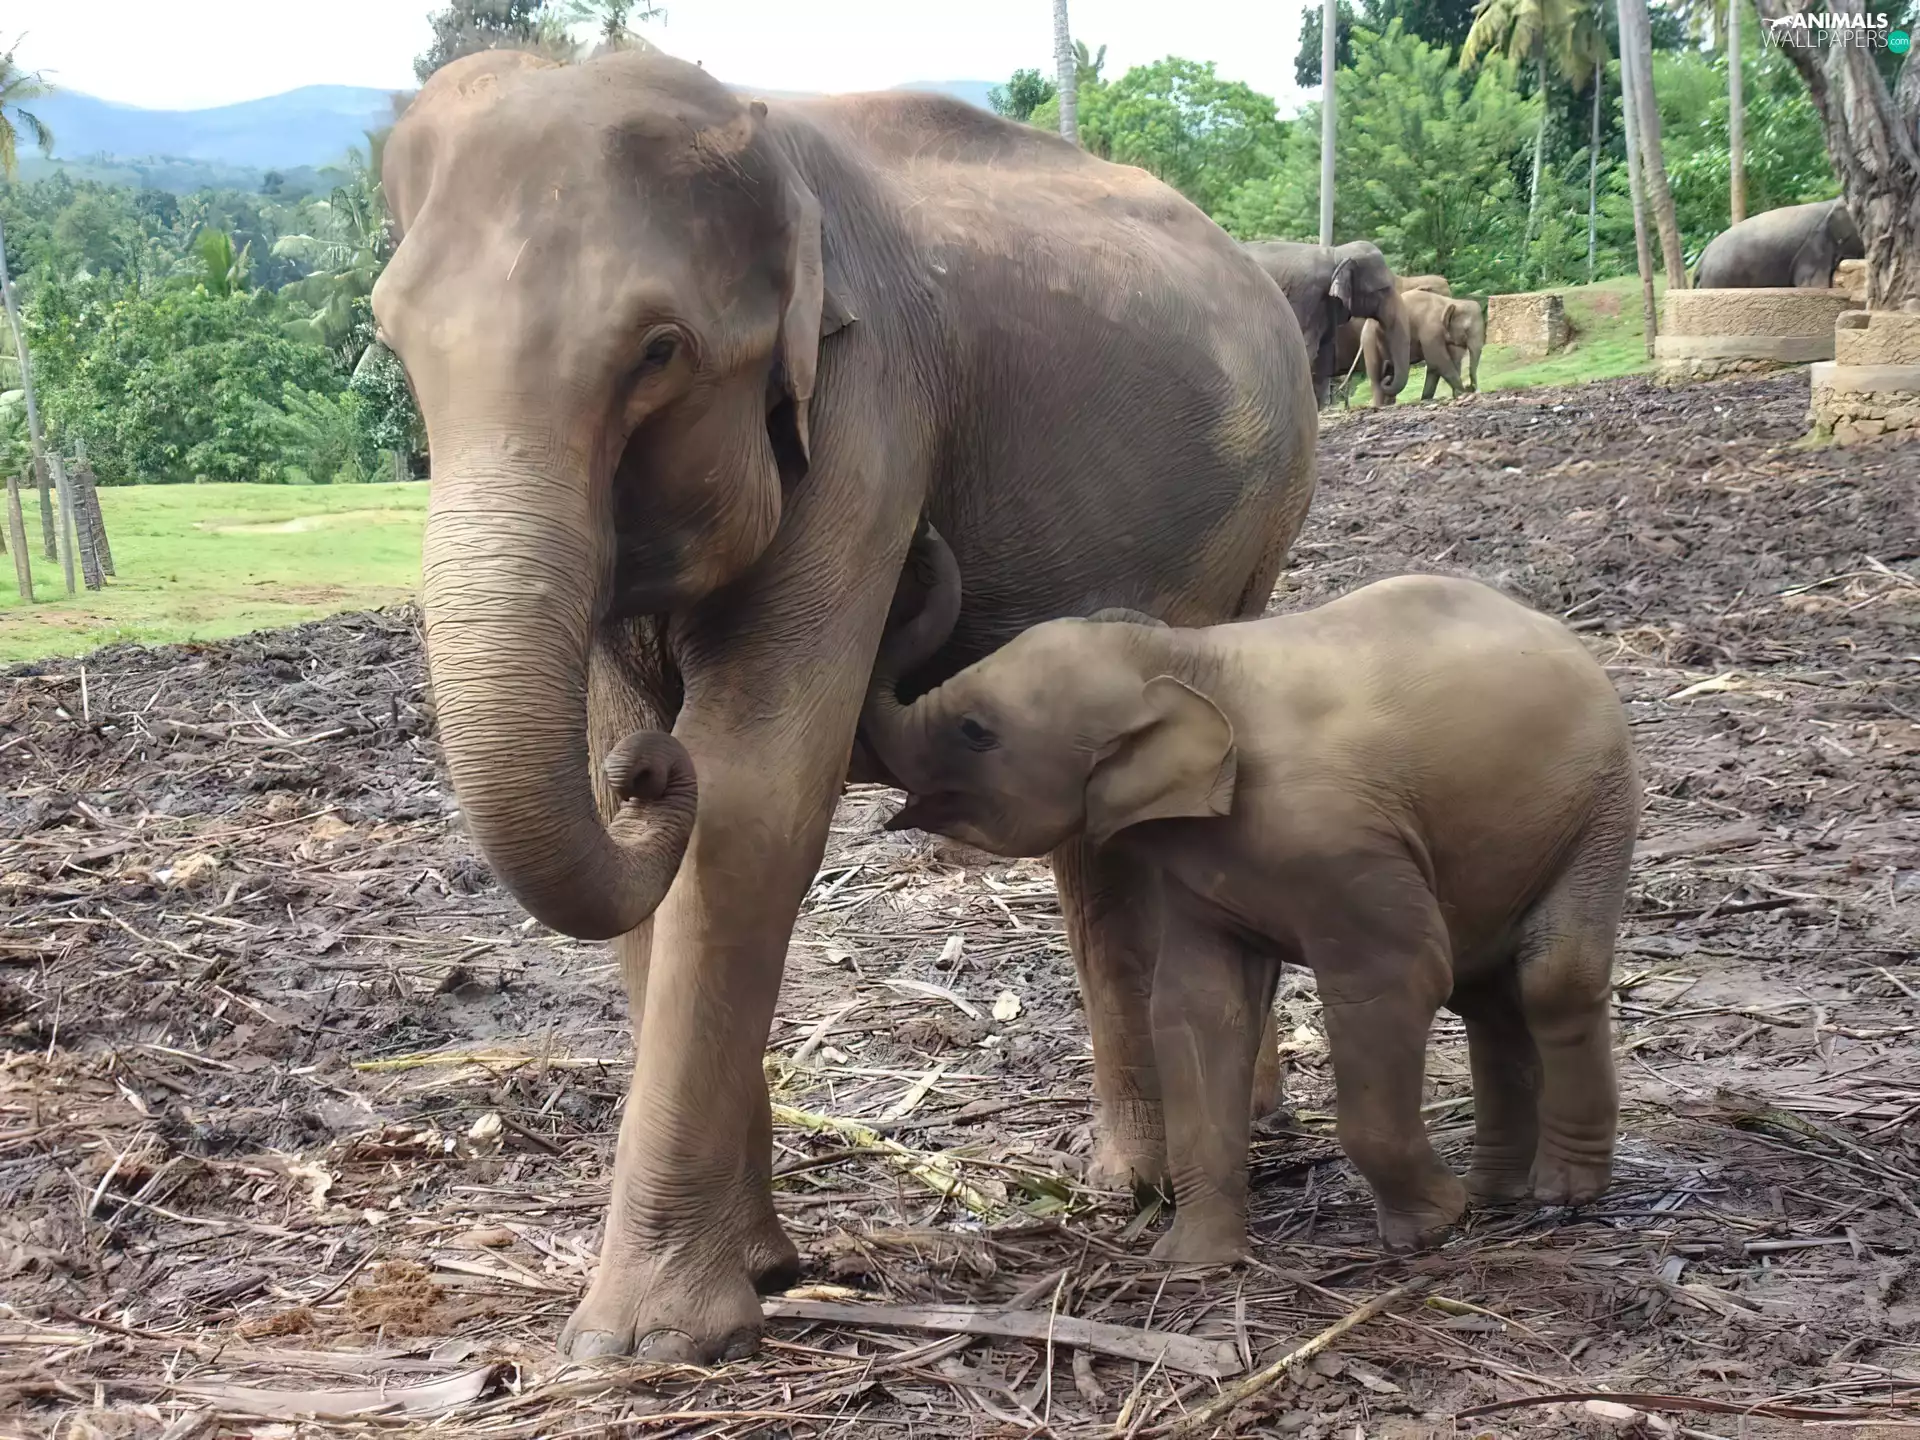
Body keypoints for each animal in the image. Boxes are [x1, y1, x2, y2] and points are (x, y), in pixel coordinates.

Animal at [375, 49, 1318, 1361]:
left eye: (658, 351)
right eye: (395, 343)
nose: (645, 773)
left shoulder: (871, 413)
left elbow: (754, 794)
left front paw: (641, 1345)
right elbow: (647, 841)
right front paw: (762, 1272)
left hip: (1265, 522)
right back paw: (1151, 1175)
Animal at [866, 562, 1640, 1260]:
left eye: (975, 731)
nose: (924, 545)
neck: (1184, 658)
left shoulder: (1339, 839)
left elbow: (1395, 980)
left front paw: (1429, 1230)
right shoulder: (1199, 872)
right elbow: (1197, 1007)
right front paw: (1194, 1262)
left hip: (1601, 804)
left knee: (1552, 978)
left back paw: (1562, 1193)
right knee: (1486, 997)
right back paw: (1495, 1192)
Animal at [1244, 240, 1412, 408]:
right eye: (1382, 290)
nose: (1387, 374)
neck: (1336, 254)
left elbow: (1323, 354)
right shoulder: (1308, 300)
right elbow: (1306, 349)